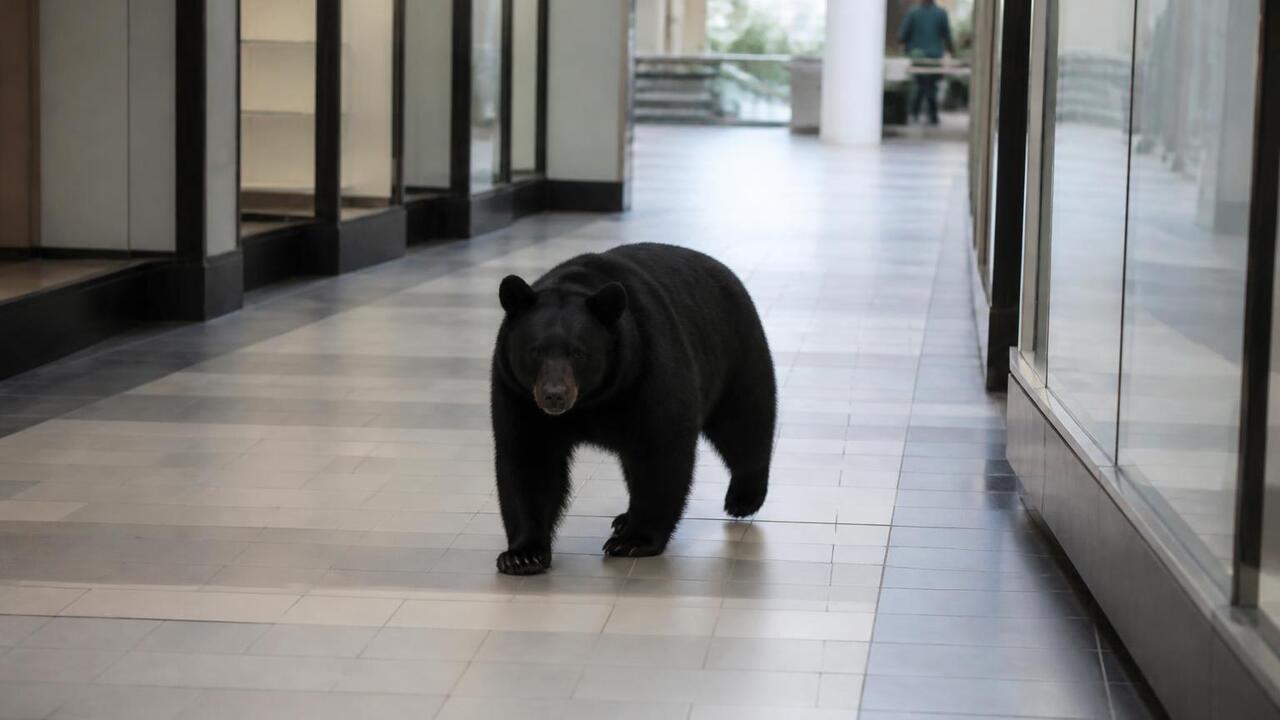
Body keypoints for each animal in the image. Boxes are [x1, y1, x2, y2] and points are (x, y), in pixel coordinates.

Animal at [490, 242, 776, 575]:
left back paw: (744, 497)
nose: (554, 396)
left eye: (578, 353)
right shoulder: (517, 395)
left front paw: (634, 541)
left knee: (744, 421)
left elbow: (661, 450)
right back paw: (624, 517)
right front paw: (522, 554)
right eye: (534, 351)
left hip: (735, 351)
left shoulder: (647, 368)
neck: (592, 401)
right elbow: (529, 460)